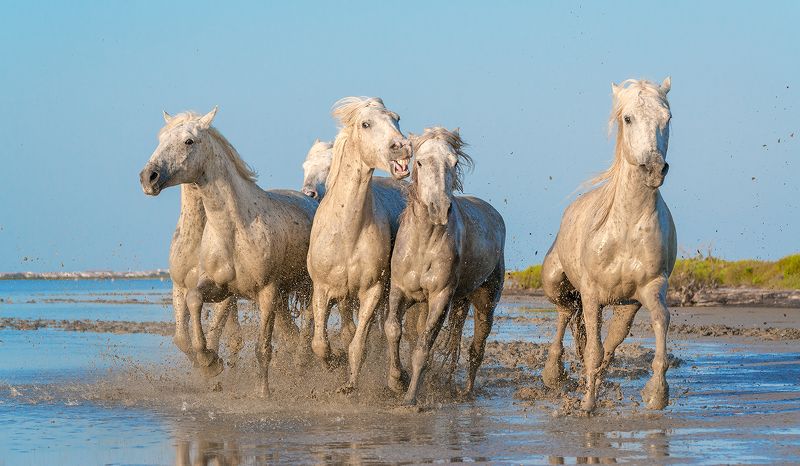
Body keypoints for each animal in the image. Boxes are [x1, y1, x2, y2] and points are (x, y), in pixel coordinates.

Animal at [139, 108, 318, 396]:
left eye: (189, 141)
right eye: (161, 138)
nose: (148, 177)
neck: (235, 229)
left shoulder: (266, 291)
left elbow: (262, 348)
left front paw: (263, 393)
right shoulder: (219, 288)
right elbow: (193, 308)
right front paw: (210, 363)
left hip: (306, 288)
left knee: (307, 326)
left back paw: (305, 365)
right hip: (282, 296)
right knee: (289, 333)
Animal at [307, 97, 411, 394]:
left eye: (397, 118)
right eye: (366, 124)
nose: (402, 147)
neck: (346, 232)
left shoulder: (372, 291)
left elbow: (359, 344)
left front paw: (350, 385)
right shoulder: (322, 289)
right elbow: (320, 343)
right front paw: (333, 364)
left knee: (387, 330)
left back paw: (397, 378)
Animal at [386, 127, 505, 405]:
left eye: (454, 162)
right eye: (419, 162)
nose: (439, 208)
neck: (423, 243)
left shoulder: (440, 298)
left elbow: (423, 348)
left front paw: (410, 398)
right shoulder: (400, 291)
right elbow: (393, 329)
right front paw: (397, 381)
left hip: (484, 304)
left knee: (475, 349)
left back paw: (466, 392)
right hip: (459, 301)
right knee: (454, 345)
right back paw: (448, 385)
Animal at [540, 78, 677, 413]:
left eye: (667, 118)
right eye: (627, 118)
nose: (654, 169)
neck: (626, 227)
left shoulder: (651, 288)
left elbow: (659, 321)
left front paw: (656, 394)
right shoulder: (592, 294)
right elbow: (592, 350)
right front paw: (587, 404)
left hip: (627, 305)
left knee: (610, 339)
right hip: (556, 282)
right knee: (564, 313)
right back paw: (553, 374)